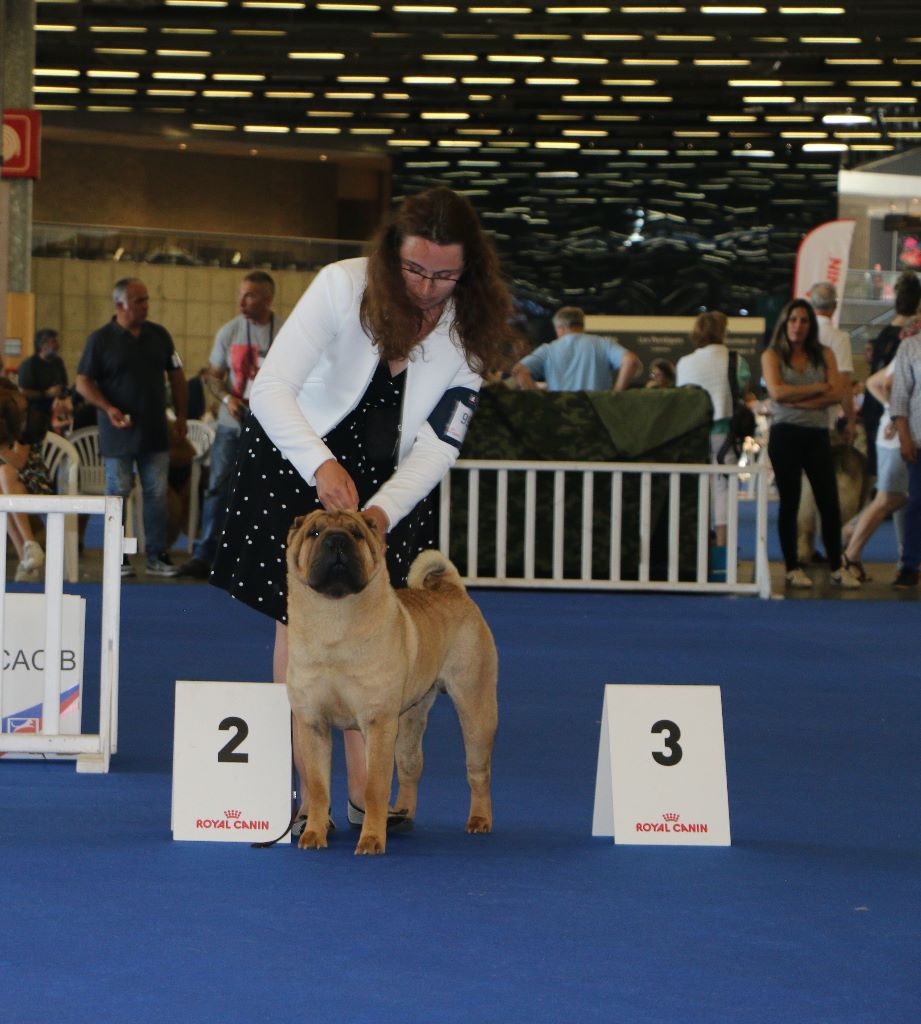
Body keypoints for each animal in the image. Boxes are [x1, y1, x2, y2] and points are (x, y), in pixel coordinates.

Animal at [288, 509, 499, 856]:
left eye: (357, 534)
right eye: (314, 533)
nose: (336, 541)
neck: (334, 620)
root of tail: (452, 589)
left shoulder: (377, 721)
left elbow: (374, 787)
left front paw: (372, 840)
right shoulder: (313, 721)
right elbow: (318, 787)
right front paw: (314, 834)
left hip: (475, 706)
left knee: (478, 770)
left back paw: (479, 820)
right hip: (411, 716)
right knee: (412, 766)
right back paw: (402, 813)